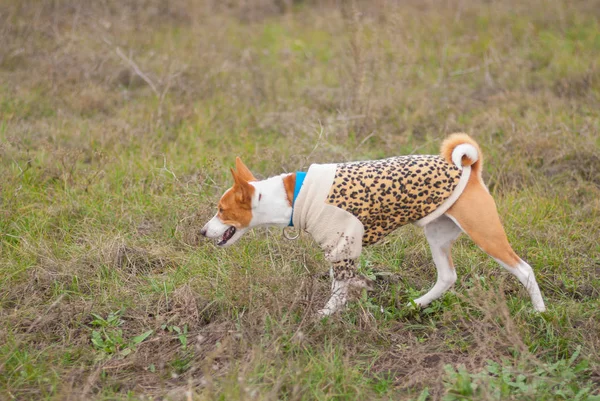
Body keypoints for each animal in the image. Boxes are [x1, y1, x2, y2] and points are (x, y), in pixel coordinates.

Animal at [199, 134, 548, 316]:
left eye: (221, 210)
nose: (202, 231)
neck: (292, 196)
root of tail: (468, 168)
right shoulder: (340, 251)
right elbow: (341, 284)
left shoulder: (343, 247)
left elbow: (338, 290)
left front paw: (324, 316)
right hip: (437, 234)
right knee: (447, 277)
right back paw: (416, 304)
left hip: (485, 234)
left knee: (524, 269)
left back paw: (540, 311)